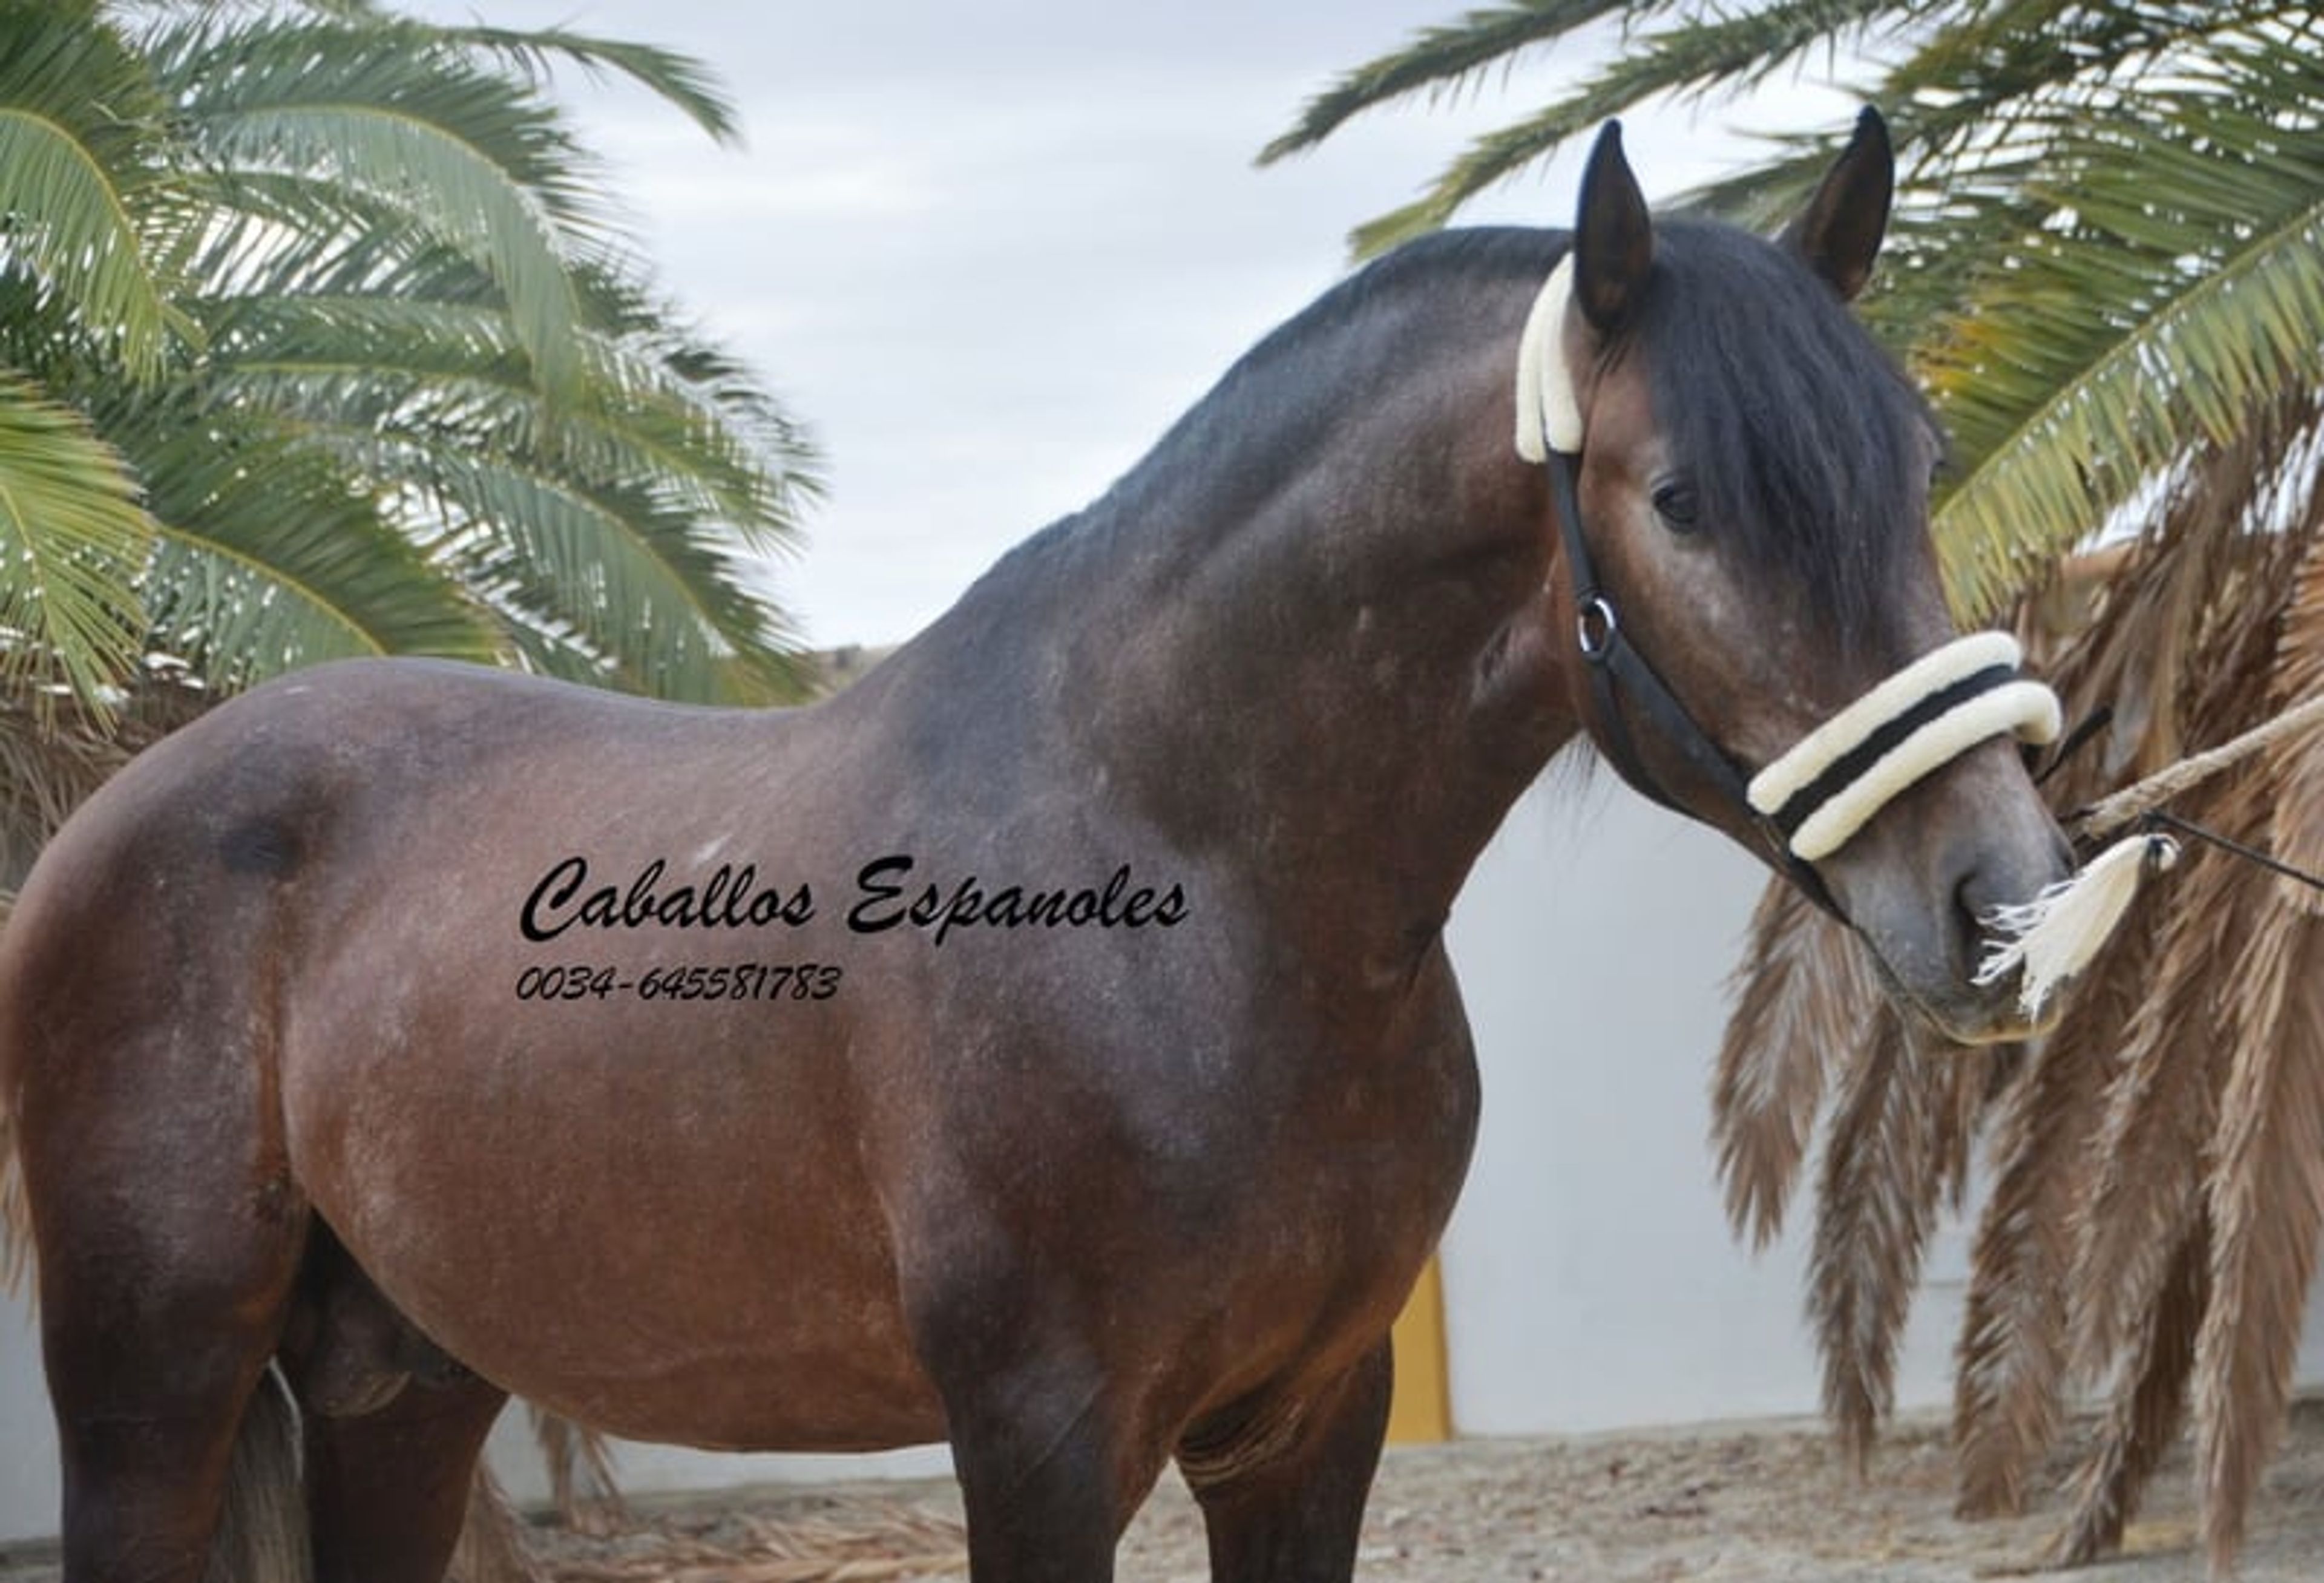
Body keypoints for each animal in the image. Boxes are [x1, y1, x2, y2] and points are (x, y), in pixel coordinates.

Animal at [0, 111, 2070, 1583]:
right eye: (1687, 497)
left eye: (1912, 457)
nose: (2003, 903)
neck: (1194, 879)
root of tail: (117, 810)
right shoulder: (1044, 1438)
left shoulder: (1305, 1424)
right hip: (152, 1395)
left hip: (401, 1380)